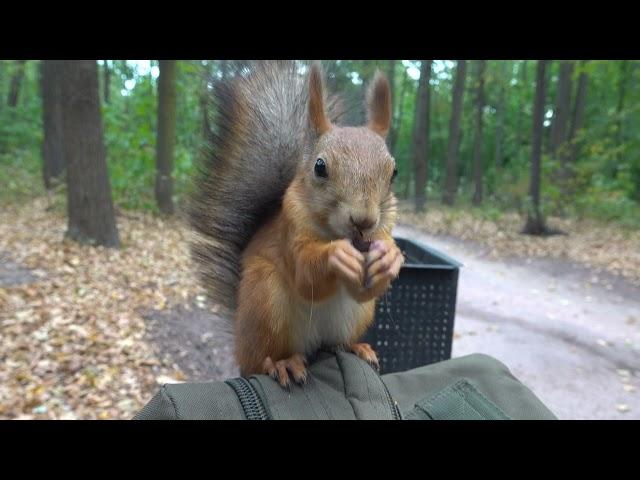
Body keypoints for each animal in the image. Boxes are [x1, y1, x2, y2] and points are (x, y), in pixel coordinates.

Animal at [188, 62, 402, 386]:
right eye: (320, 167)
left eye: (394, 173)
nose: (364, 220)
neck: (334, 232)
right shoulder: (290, 228)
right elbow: (305, 274)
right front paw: (336, 255)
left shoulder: (383, 229)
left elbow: (364, 288)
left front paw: (389, 257)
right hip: (265, 298)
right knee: (261, 358)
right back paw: (282, 363)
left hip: (357, 315)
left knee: (339, 339)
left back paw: (356, 346)